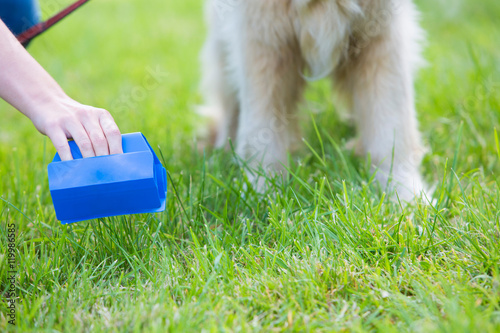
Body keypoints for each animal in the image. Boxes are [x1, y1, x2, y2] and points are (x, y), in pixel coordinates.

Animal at [199, 0, 426, 200]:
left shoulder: (382, 34)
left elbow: (392, 129)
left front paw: (407, 199)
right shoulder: (264, 38)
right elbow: (262, 132)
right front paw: (264, 195)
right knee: (230, 105)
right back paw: (221, 151)